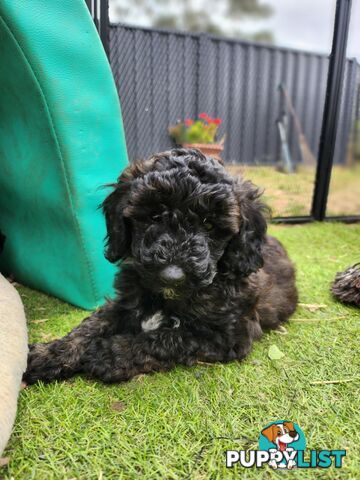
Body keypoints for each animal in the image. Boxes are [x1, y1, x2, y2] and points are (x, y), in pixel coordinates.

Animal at [23, 148, 296, 384]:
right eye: (154, 217)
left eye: (209, 225)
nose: (172, 276)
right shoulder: (124, 301)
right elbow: (91, 324)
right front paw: (51, 353)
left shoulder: (229, 335)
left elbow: (171, 337)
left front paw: (110, 353)